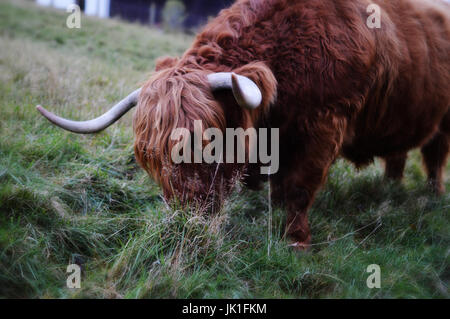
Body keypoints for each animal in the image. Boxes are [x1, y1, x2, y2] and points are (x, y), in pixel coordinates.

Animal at [37, 0, 450, 250]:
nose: (186, 221)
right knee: (398, 155)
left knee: (434, 158)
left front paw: (296, 241)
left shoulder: (324, 127)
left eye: (206, 143)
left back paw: (431, 197)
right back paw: (390, 190)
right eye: (151, 157)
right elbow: (280, 189)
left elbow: (298, 189)